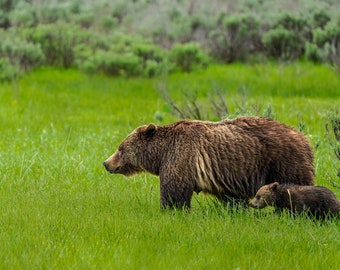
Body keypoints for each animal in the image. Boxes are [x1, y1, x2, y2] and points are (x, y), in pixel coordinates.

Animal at [103, 116, 314, 209]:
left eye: (120, 148)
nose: (106, 163)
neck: (160, 153)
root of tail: (304, 138)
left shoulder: (181, 156)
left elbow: (175, 190)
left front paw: (171, 210)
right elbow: (232, 198)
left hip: (283, 160)